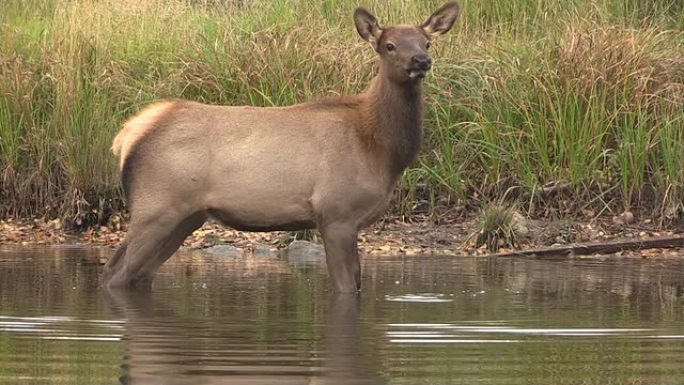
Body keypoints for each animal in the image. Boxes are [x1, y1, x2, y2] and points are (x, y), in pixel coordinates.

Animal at [104, 2, 460, 292]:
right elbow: (347, 288)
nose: (421, 60)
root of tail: (128, 134)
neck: (381, 151)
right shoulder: (336, 211)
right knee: (115, 273)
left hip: (186, 217)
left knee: (137, 274)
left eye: (427, 41)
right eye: (389, 45)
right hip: (155, 207)